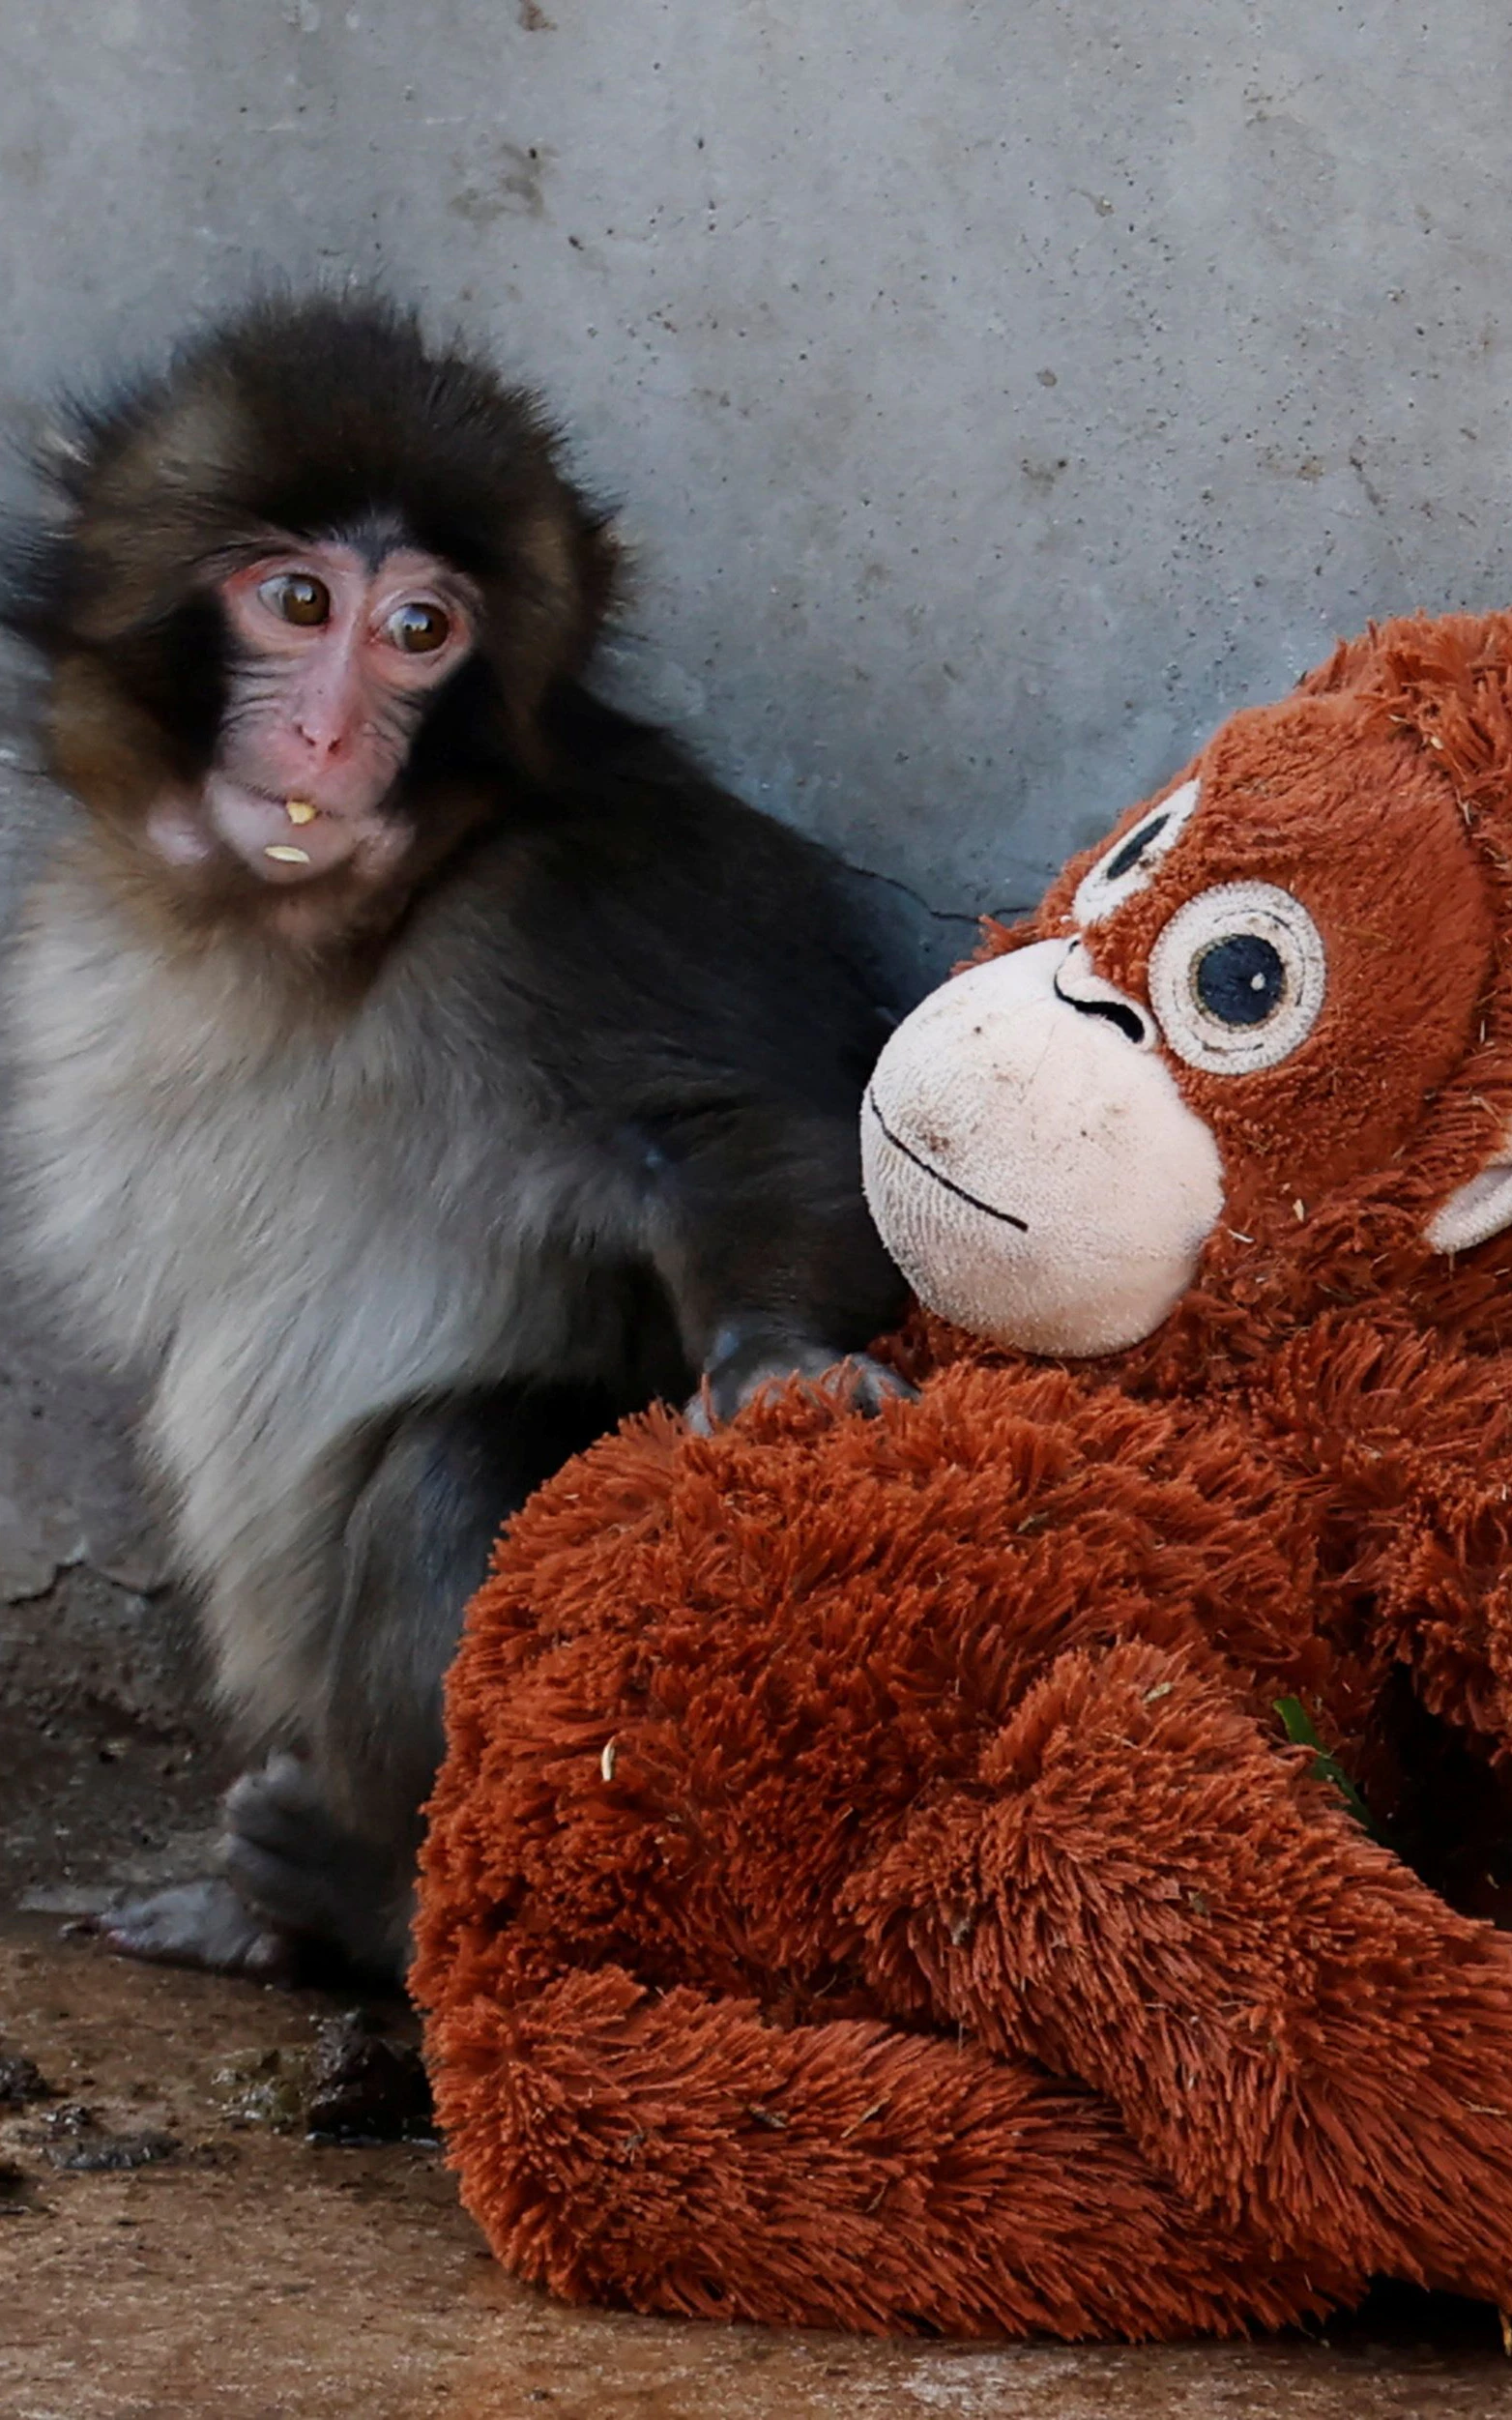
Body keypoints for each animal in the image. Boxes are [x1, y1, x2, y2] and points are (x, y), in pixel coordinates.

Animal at [0, 295, 910, 1983]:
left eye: (422, 631)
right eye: (300, 601)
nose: (327, 730)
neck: (315, 935)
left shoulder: (587, 902)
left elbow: (743, 1133)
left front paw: (781, 1366)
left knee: (458, 1466)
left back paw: (364, 1900)